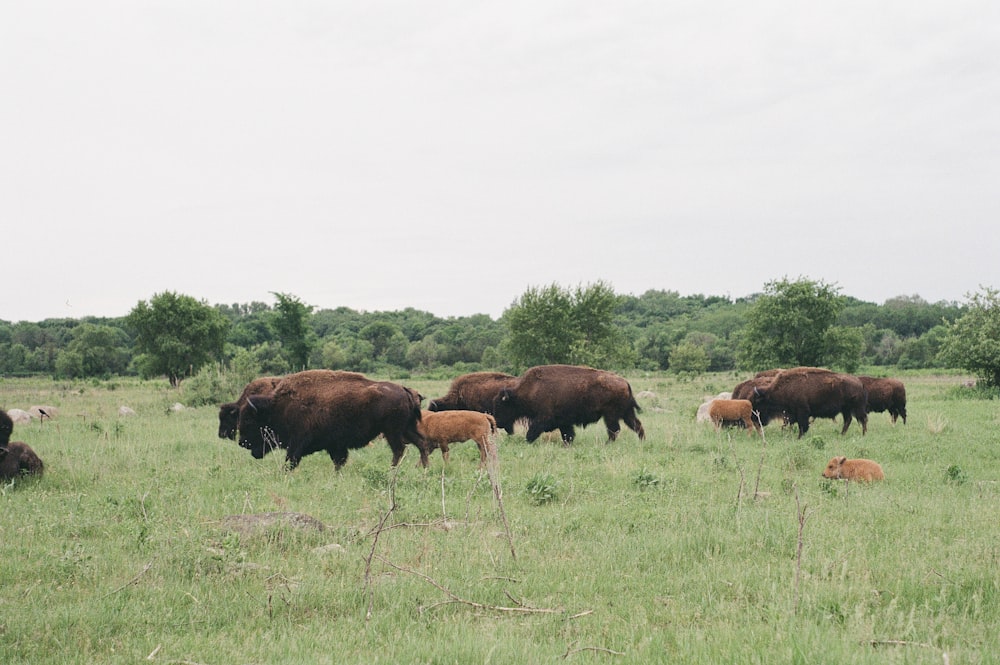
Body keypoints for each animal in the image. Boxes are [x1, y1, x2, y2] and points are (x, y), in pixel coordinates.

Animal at [236, 368, 428, 472]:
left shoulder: (297, 443)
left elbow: (291, 460)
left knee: (399, 449)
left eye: (249, 420)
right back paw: (425, 468)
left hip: (392, 431)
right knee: (421, 443)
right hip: (406, 428)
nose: (241, 442)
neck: (277, 407)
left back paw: (392, 470)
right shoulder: (335, 445)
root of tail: (404, 390)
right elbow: (338, 461)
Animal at [488, 366, 644, 444]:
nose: (497, 423)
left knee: (614, 430)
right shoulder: (563, 422)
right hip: (625, 413)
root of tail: (625, 382)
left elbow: (532, 431)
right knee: (636, 425)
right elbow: (567, 434)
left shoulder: (543, 418)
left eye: (502, 405)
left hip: (611, 415)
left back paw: (608, 444)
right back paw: (641, 441)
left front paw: (527, 441)